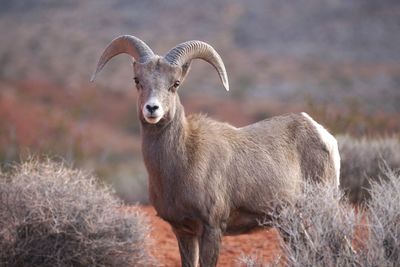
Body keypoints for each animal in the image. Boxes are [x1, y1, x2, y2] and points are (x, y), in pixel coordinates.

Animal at [91, 35, 340, 267]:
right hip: (289, 223)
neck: (182, 162)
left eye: (175, 83)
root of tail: (321, 132)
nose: (152, 109)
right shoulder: (183, 232)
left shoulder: (212, 229)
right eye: (137, 81)